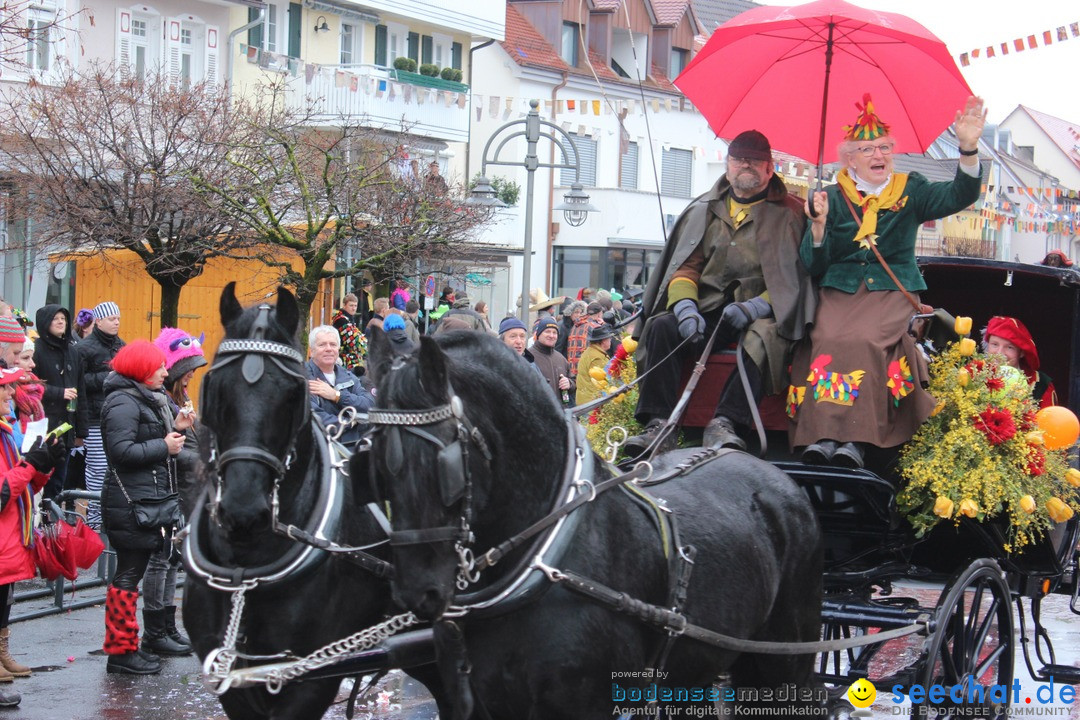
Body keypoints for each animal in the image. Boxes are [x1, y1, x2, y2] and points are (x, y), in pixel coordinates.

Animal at [183, 284, 440, 716]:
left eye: (292, 393)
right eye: (215, 385)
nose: (243, 508)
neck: (246, 568)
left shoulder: (311, 678)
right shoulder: (232, 678)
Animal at [358, 330, 820, 720]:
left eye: (447, 465)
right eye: (375, 464)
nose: (417, 592)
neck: (546, 558)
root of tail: (768, 469)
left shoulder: (584, 704)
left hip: (785, 658)